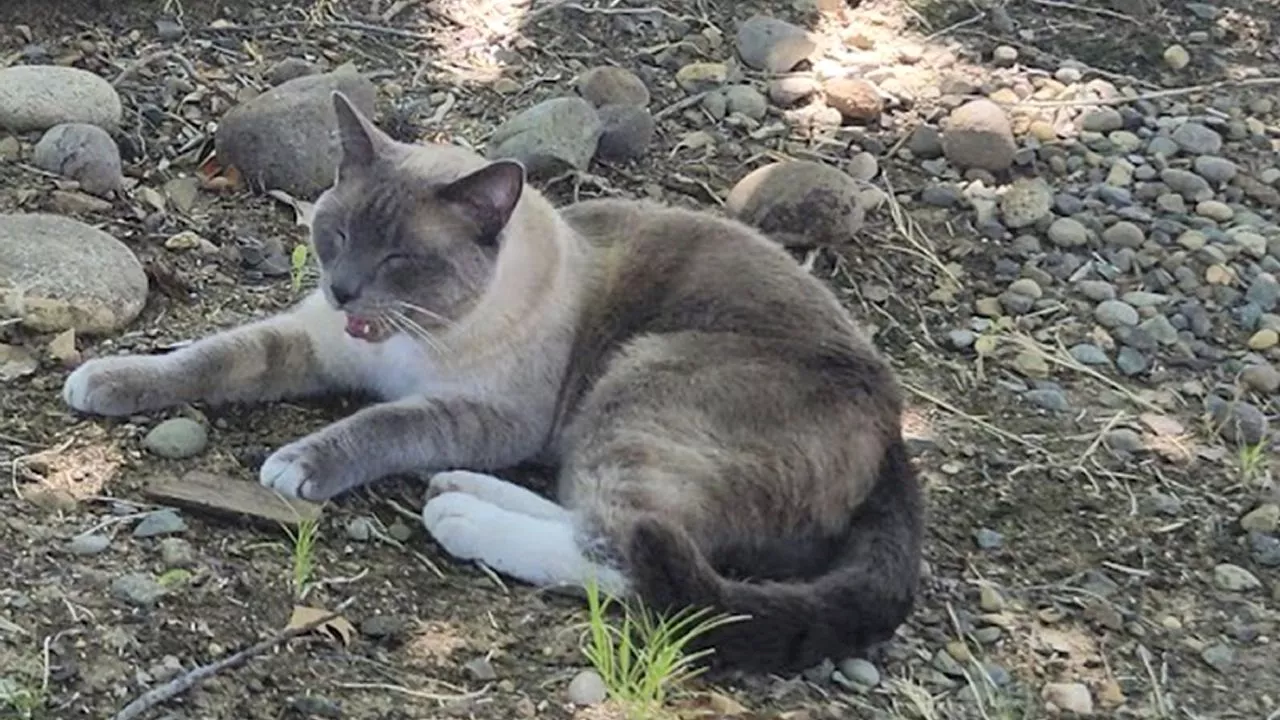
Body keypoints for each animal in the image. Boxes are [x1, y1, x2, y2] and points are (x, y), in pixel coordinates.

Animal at [62, 90, 921, 671]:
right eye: (334, 234)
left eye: (400, 258)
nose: (342, 290)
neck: (402, 341)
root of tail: (894, 427)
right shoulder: (312, 341)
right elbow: (207, 359)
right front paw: (102, 379)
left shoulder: (484, 416)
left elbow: (379, 425)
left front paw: (298, 465)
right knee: (607, 520)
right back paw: (462, 491)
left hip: (638, 386)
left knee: (632, 554)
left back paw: (462, 516)